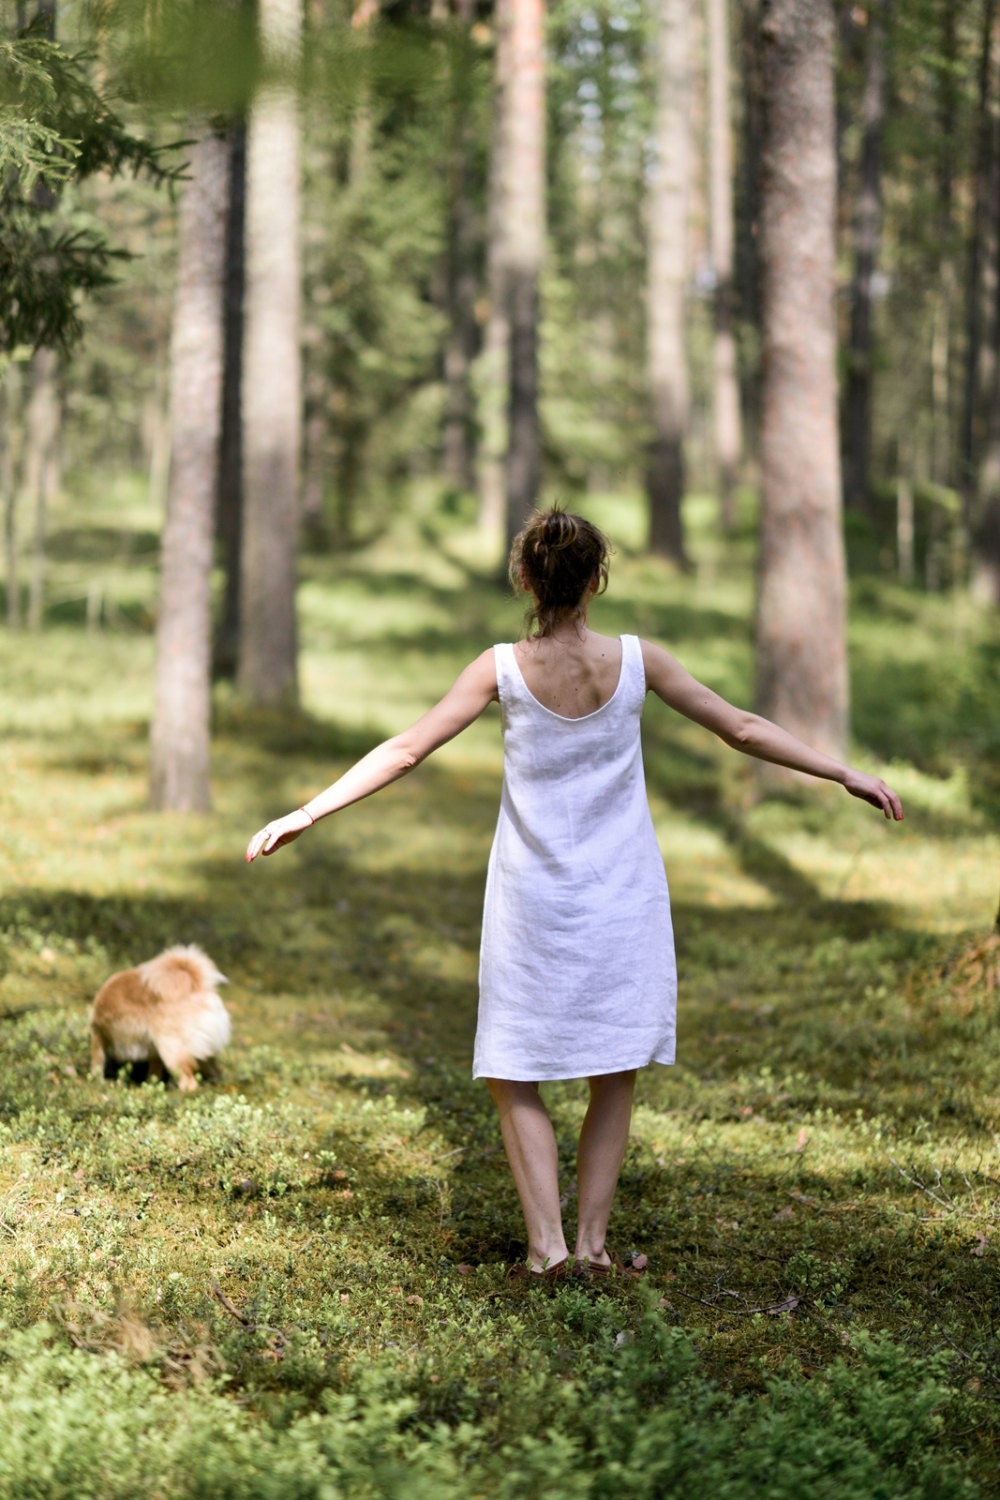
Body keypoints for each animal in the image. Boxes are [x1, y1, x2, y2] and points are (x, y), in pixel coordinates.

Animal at [88, 948, 232, 1092]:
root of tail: (199, 989)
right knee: (216, 1070)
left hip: (171, 1050)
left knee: (189, 1081)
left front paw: (97, 1080)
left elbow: (97, 1061)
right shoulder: (153, 1051)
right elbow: (154, 1071)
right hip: (205, 1054)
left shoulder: (98, 1036)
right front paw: (152, 1084)